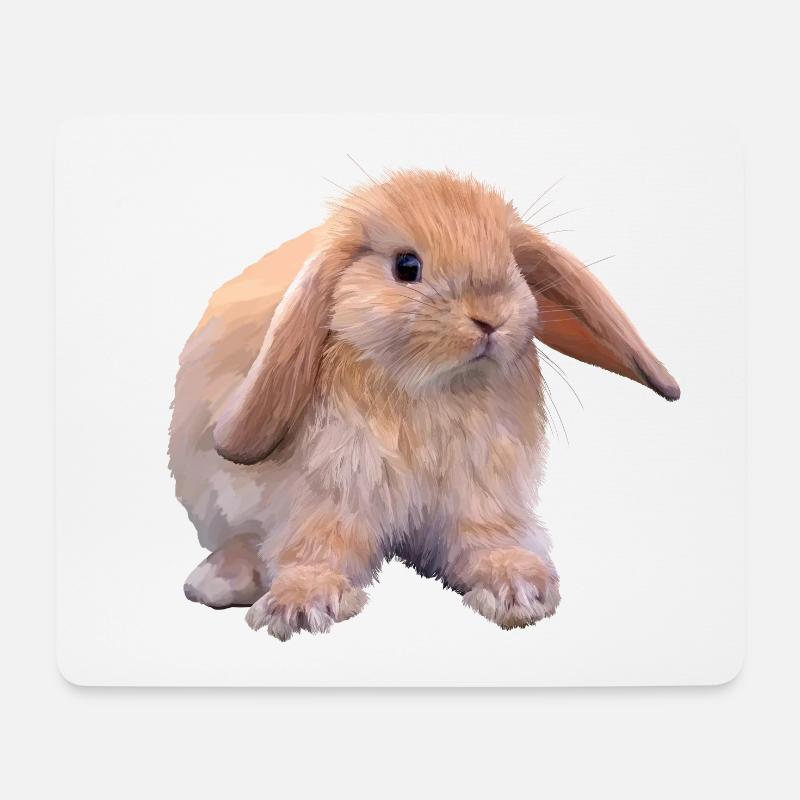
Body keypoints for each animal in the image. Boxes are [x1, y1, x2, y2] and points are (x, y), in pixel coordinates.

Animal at [169, 169, 680, 641]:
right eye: (406, 266)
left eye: (513, 263)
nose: (491, 317)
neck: (429, 390)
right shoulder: (328, 493)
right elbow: (318, 547)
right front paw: (299, 606)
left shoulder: (481, 493)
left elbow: (487, 539)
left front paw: (518, 587)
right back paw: (218, 580)